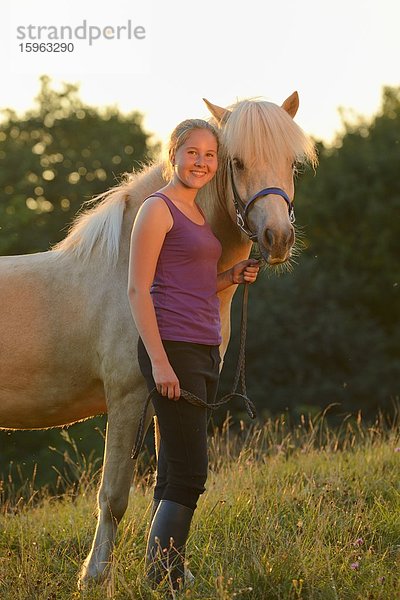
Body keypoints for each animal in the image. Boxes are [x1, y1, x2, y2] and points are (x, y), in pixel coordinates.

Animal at [0, 91, 316, 584]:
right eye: (237, 161)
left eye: (291, 164)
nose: (277, 238)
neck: (128, 269)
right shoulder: (128, 397)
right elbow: (113, 495)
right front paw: (94, 576)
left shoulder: (174, 396)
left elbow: (168, 486)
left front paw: (171, 572)